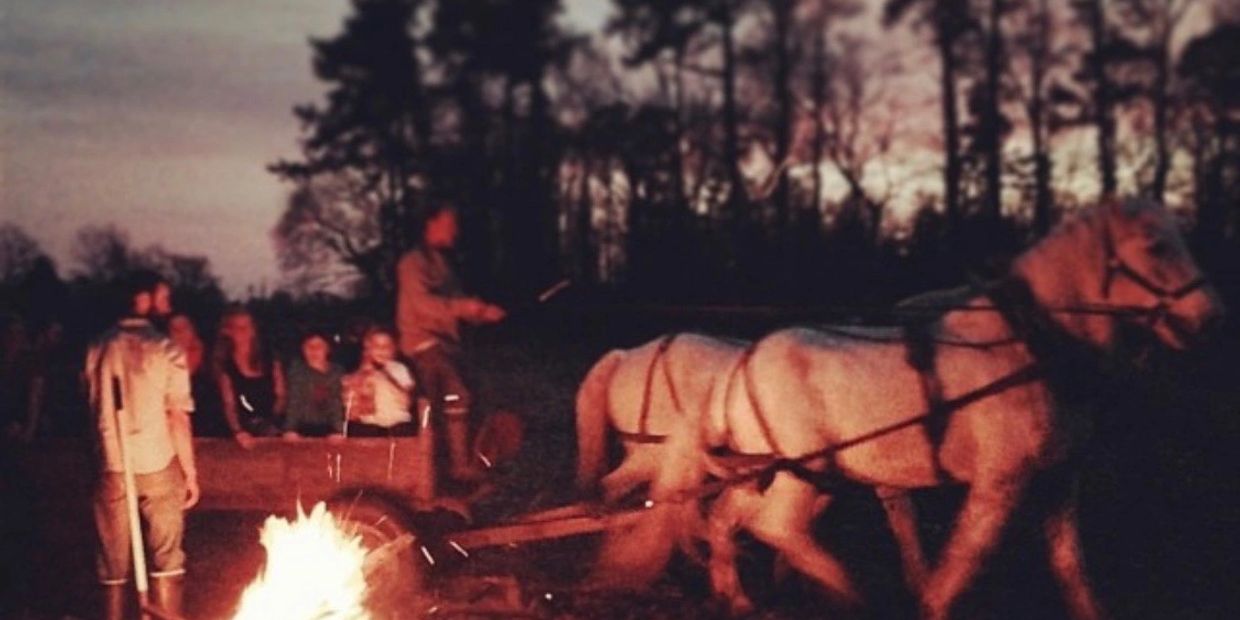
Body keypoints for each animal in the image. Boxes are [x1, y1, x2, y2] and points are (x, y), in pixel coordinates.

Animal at [704, 195, 1225, 617]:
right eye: (1156, 245)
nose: (1210, 318)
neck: (1030, 349)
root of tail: (744, 366)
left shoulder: (1060, 477)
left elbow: (1069, 567)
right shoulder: (1000, 482)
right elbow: (961, 567)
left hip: (791, 475)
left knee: (727, 519)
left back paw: (740, 598)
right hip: (799, 477)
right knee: (776, 527)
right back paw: (848, 592)